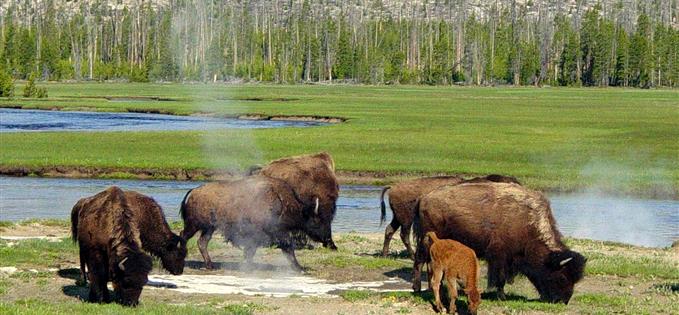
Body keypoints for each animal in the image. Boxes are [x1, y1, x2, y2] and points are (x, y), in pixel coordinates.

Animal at [179, 175, 328, 272]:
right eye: (316, 220)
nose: (326, 239)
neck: (281, 200)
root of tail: (193, 191)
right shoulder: (272, 233)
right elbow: (287, 248)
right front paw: (299, 268)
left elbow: (253, 251)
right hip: (194, 225)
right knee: (184, 236)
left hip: (209, 228)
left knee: (202, 242)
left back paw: (210, 266)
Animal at [380, 175, 516, 260]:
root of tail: (393, 188)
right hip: (406, 219)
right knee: (404, 235)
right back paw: (412, 256)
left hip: (398, 218)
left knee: (389, 230)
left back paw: (385, 255)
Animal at [412, 183, 588, 306]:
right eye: (562, 277)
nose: (563, 301)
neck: (527, 223)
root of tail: (424, 199)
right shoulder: (500, 256)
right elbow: (500, 277)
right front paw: (501, 296)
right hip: (426, 241)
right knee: (419, 260)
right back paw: (418, 287)